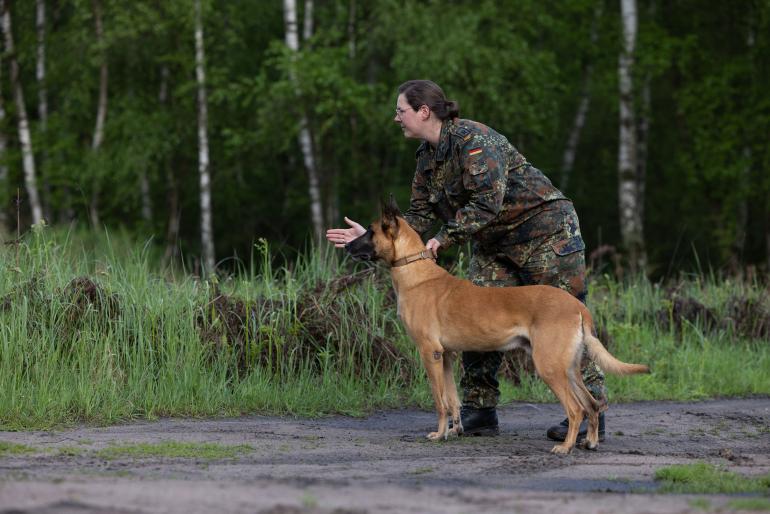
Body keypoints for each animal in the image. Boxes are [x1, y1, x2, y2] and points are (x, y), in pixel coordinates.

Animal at [348, 198, 648, 450]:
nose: (348, 245)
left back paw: (565, 447)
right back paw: (590, 442)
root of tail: (578, 306)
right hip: (570, 368)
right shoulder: (446, 356)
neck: (415, 272)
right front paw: (453, 431)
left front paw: (439, 434)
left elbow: (439, 401)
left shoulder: (429, 353)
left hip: (549, 366)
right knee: (593, 404)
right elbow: (453, 400)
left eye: (370, 232)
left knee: (577, 409)